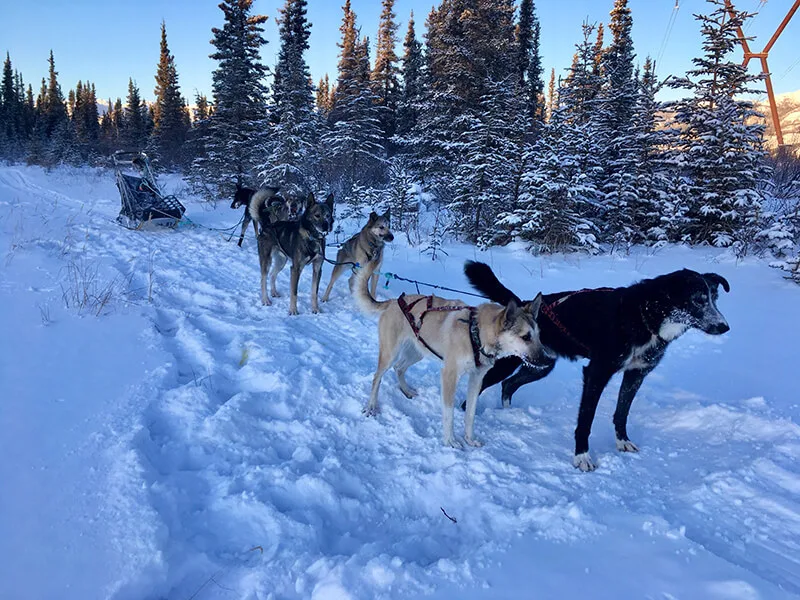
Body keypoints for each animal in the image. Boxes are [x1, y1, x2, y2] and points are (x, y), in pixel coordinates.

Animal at [356, 260, 552, 448]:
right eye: (525, 337)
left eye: (538, 335)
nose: (547, 360)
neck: (476, 333)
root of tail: (393, 302)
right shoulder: (449, 376)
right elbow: (448, 414)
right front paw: (450, 441)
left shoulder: (476, 379)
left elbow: (470, 414)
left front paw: (470, 439)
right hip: (390, 354)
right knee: (377, 377)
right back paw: (371, 406)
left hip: (417, 352)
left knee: (399, 368)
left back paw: (406, 391)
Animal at [462, 262, 732, 474]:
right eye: (698, 301)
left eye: (714, 299)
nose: (724, 327)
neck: (645, 316)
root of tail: (524, 305)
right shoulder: (597, 373)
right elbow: (586, 419)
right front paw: (582, 457)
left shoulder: (636, 374)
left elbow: (622, 412)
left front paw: (623, 442)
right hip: (507, 364)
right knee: (478, 391)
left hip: (540, 366)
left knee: (509, 384)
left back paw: (508, 413)